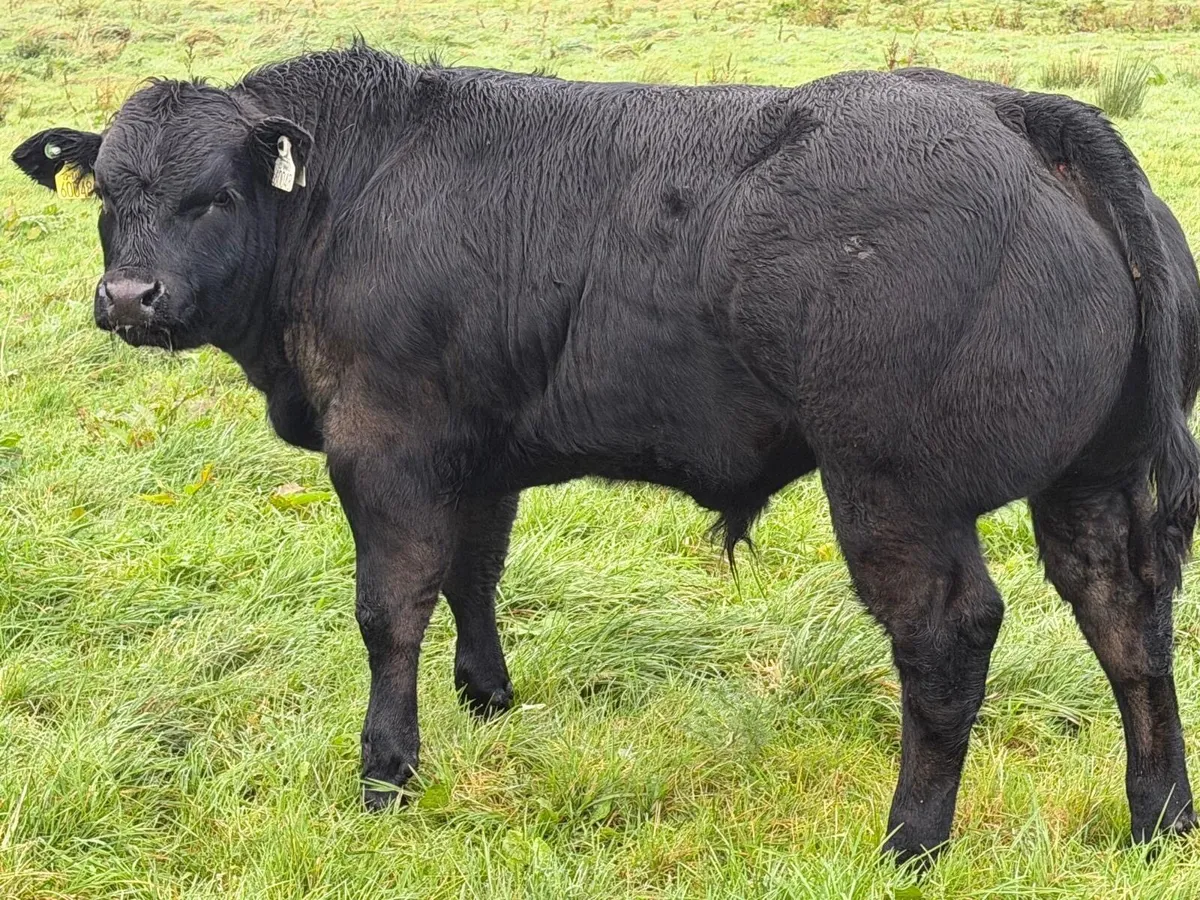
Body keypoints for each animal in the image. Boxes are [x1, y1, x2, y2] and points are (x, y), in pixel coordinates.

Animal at [13, 43, 1200, 863]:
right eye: (109, 195)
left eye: (213, 195)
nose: (130, 297)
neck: (352, 196)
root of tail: (1014, 110)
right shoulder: (477, 451)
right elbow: (474, 574)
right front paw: (488, 700)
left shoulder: (387, 446)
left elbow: (391, 608)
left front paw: (388, 774)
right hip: (1091, 480)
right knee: (1128, 620)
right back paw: (1159, 819)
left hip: (896, 488)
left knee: (948, 638)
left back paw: (911, 840)